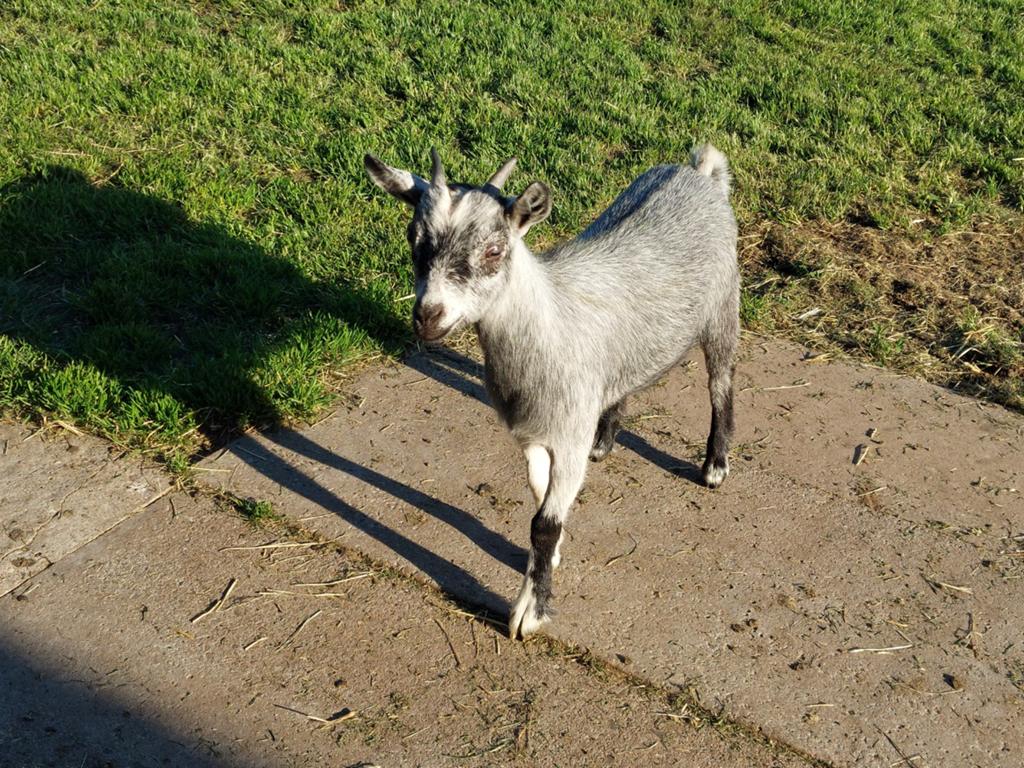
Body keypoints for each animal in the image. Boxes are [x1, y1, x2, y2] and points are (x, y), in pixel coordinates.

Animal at [364, 146, 739, 639]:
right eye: (414, 237)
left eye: (494, 250)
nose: (428, 316)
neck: (551, 320)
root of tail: (700, 173)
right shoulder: (533, 431)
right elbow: (539, 491)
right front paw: (555, 552)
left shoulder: (568, 431)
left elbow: (542, 522)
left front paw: (530, 610)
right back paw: (606, 439)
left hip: (724, 307)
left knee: (721, 383)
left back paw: (714, 465)